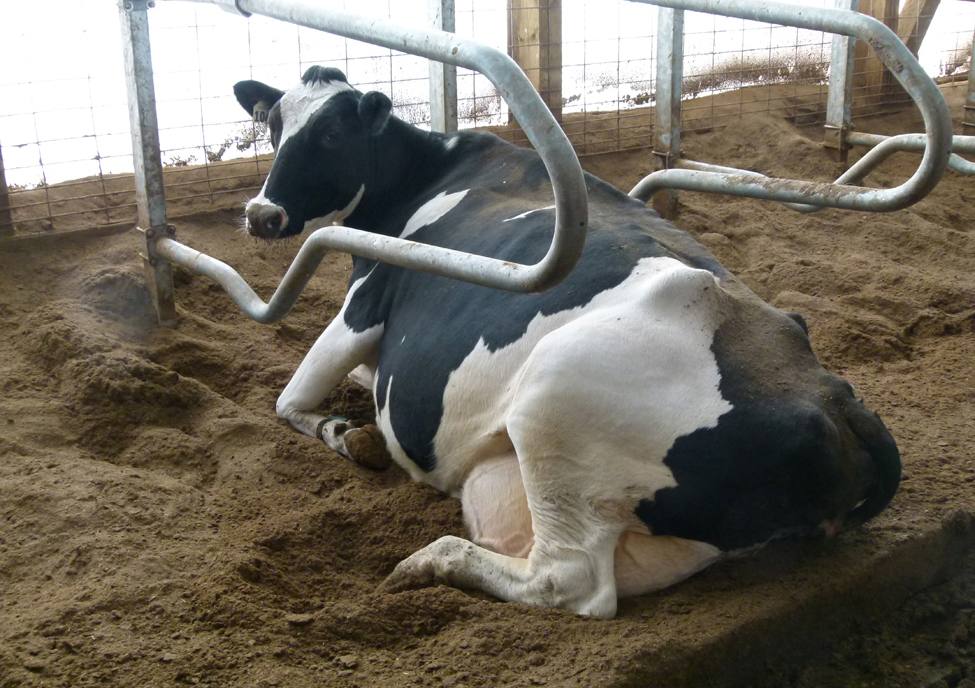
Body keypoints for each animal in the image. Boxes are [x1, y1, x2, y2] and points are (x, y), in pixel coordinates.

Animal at [233, 68, 904, 620]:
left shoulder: (364, 303)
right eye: (273, 125)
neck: (426, 175)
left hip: (553, 393)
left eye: (329, 135)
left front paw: (348, 435)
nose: (262, 214)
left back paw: (431, 560)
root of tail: (835, 403)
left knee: (569, 580)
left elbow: (290, 399)